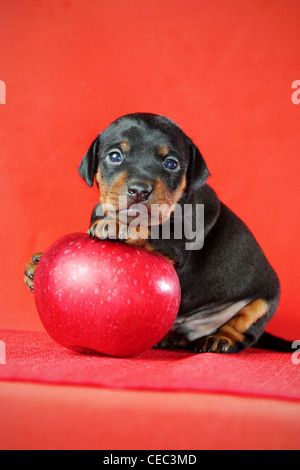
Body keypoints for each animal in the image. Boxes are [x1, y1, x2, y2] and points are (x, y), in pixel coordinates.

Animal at [24, 114, 292, 352]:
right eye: (114, 156)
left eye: (171, 163)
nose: (139, 190)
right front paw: (37, 264)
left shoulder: (178, 243)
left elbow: (151, 230)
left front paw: (121, 226)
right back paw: (172, 338)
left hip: (264, 301)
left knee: (244, 329)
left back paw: (221, 339)